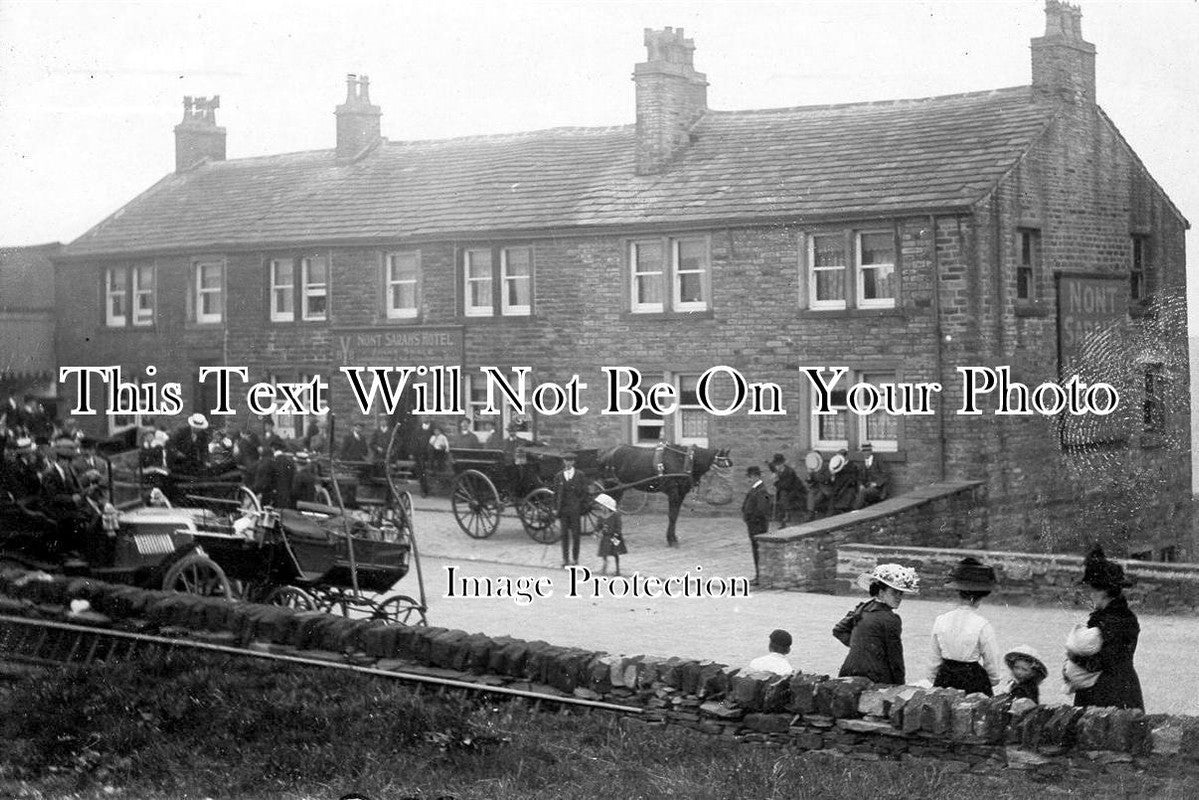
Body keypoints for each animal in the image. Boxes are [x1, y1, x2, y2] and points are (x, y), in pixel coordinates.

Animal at [597, 441, 728, 546]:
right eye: (723, 464)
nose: (726, 486)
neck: (685, 460)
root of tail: (606, 453)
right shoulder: (673, 492)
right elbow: (672, 515)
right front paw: (671, 540)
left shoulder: (681, 493)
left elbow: (675, 515)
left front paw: (673, 538)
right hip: (611, 486)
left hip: (619, 488)